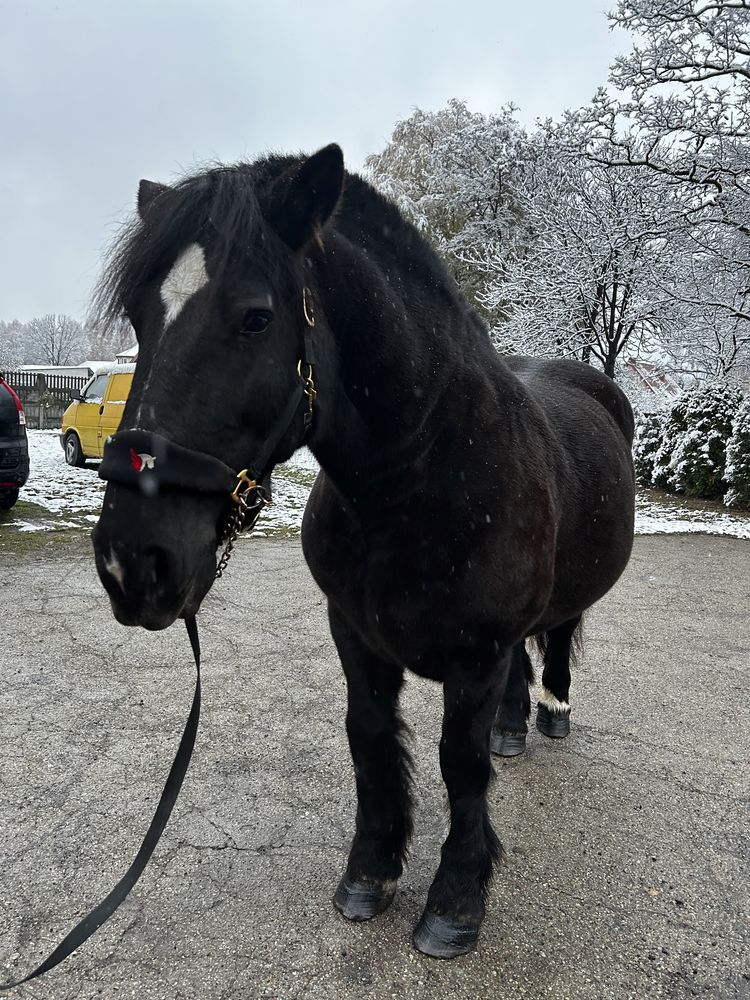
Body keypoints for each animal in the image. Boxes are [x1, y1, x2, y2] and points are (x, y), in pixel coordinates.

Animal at [92, 143, 636, 960]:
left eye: (256, 318)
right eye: (139, 316)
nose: (133, 562)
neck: (423, 473)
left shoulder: (476, 654)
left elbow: (461, 766)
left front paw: (455, 902)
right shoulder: (354, 632)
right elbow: (370, 740)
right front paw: (371, 871)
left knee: (560, 635)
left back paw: (550, 712)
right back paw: (513, 725)